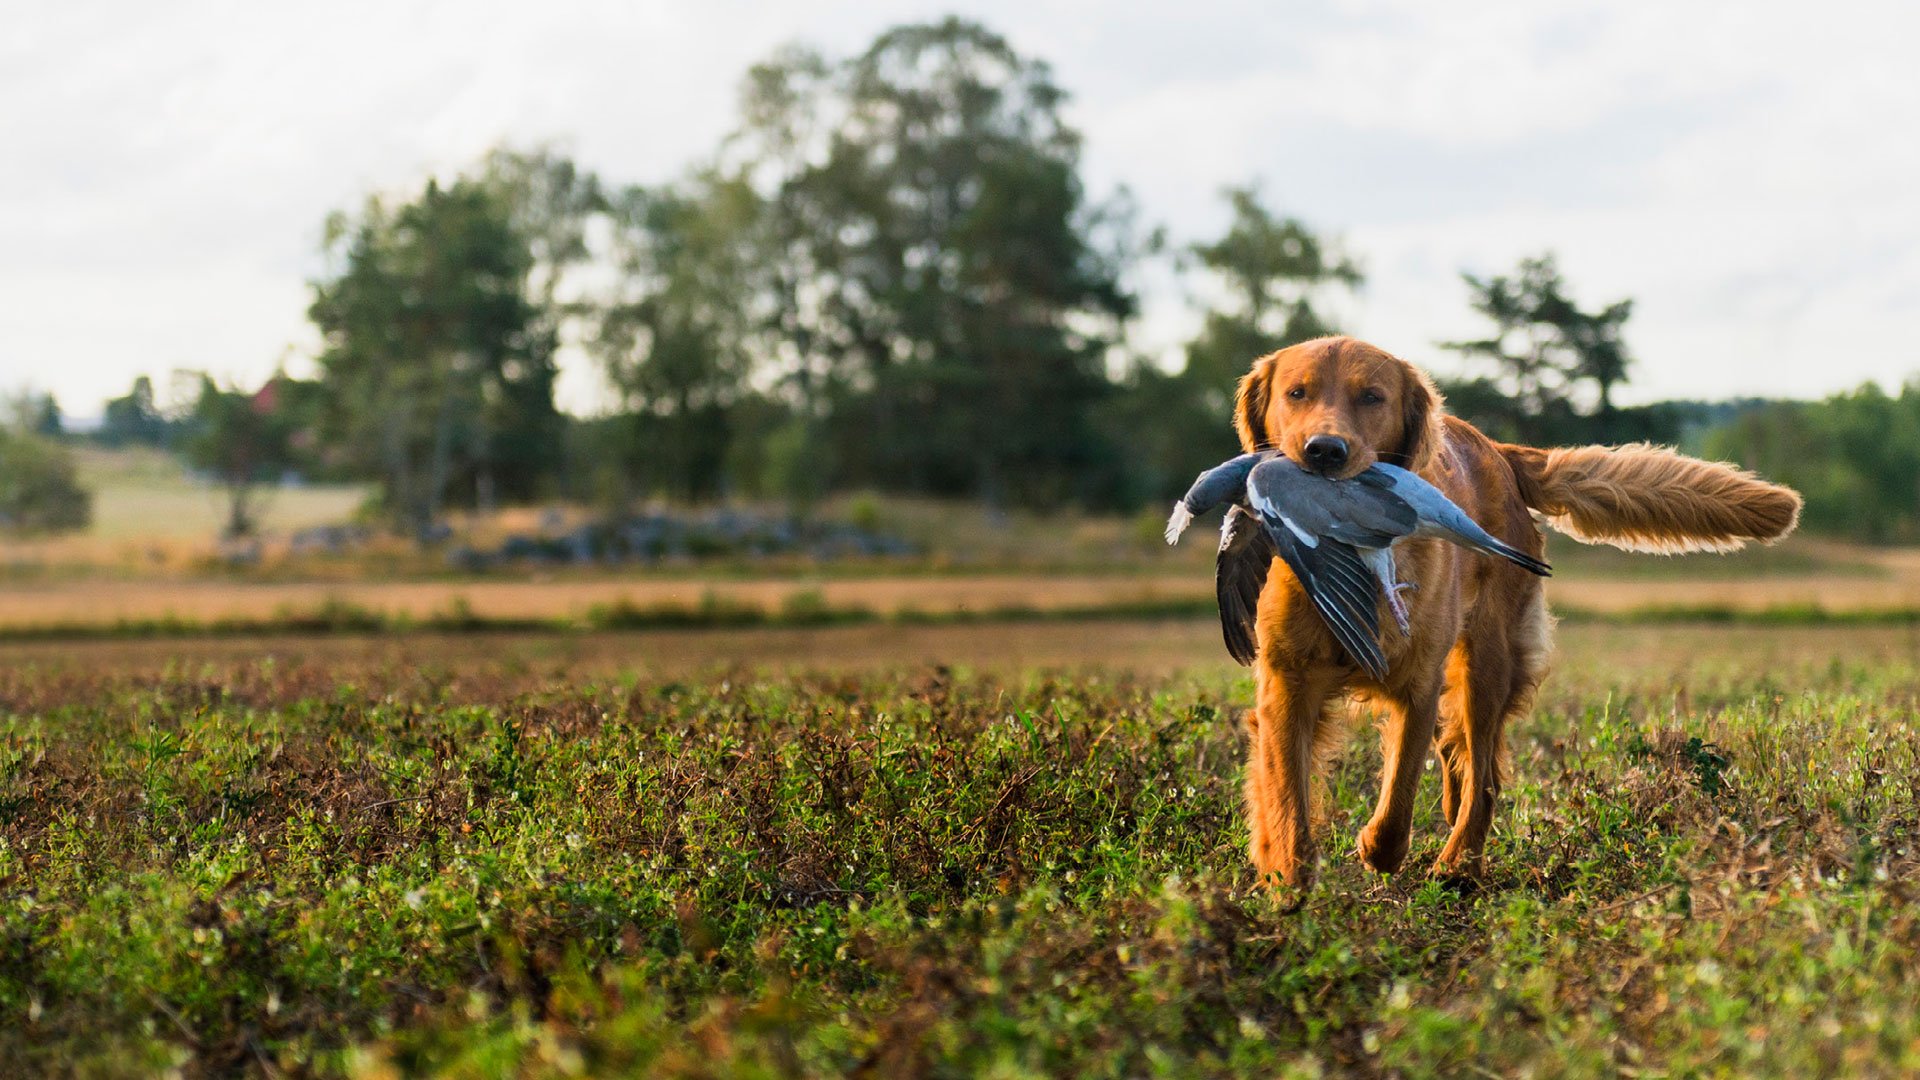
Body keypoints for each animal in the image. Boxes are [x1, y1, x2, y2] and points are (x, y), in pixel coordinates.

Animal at [1236, 334, 1789, 883]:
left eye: (1372, 397)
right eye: (1297, 393)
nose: (1324, 452)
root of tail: (1498, 451)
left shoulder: (1418, 682)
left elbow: (1398, 799)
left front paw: (1376, 848)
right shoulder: (1287, 682)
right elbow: (1287, 798)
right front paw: (1286, 879)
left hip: (1488, 661)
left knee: (1483, 777)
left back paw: (1458, 864)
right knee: (1458, 755)